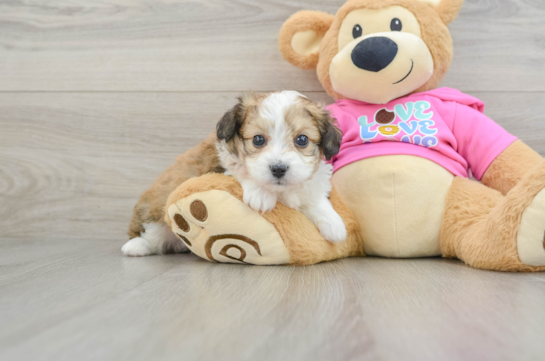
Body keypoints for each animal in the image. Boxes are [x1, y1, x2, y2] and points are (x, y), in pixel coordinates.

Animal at [216, 90, 344, 242]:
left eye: (302, 139)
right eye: (258, 139)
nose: (278, 169)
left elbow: (314, 196)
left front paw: (332, 222)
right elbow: (238, 167)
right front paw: (261, 193)